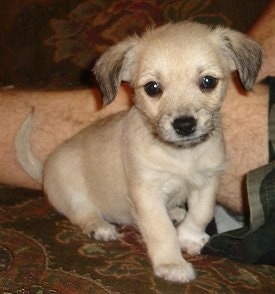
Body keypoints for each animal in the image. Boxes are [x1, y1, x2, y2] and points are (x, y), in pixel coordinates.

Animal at [15, 21, 264, 284]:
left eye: (208, 82)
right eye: (152, 88)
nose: (184, 125)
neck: (181, 156)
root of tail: (44, 170)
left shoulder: (207, 183)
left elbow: (201, 213)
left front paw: (189, 237)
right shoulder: (148, 194)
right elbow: (162, 231)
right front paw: (172, 264)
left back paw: (175, 212)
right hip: (71, 189)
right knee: (83, 213)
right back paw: (100, 227)